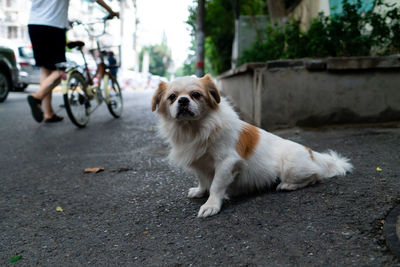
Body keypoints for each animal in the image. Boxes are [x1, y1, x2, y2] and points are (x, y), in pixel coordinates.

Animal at [151, 74, 354, 219]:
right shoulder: (199, 163)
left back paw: (287, 185)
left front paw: (211, 205)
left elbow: (216, 185)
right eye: (172, 97)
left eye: (196, 95)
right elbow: (203, 180)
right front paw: (200, 191)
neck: (194, 130)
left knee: (315, 176)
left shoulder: (226, 162)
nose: (183, 100)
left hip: (291, 167)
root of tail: (312, 153)